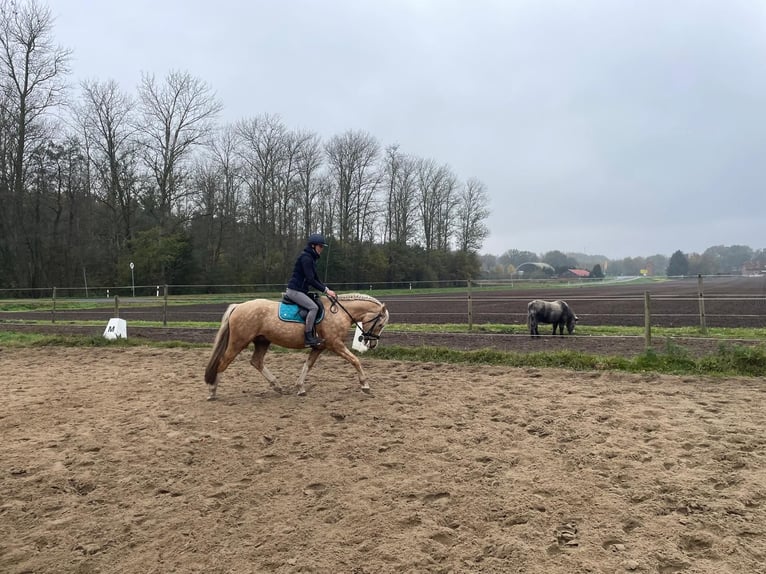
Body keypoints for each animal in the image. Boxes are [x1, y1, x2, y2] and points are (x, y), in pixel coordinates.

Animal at [204, 292, 390, 400]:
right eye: (380, 324)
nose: (373, 344)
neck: (339, 313)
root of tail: (238, 306)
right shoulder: (335, 344)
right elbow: (355, 360)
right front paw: (365, 385)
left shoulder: (319, 347)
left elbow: (308, 365)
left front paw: (300, 388)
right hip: (238, 342)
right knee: (223, 362)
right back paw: (212, 391)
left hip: (262, 341)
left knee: (256, 361)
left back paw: (277, 386)